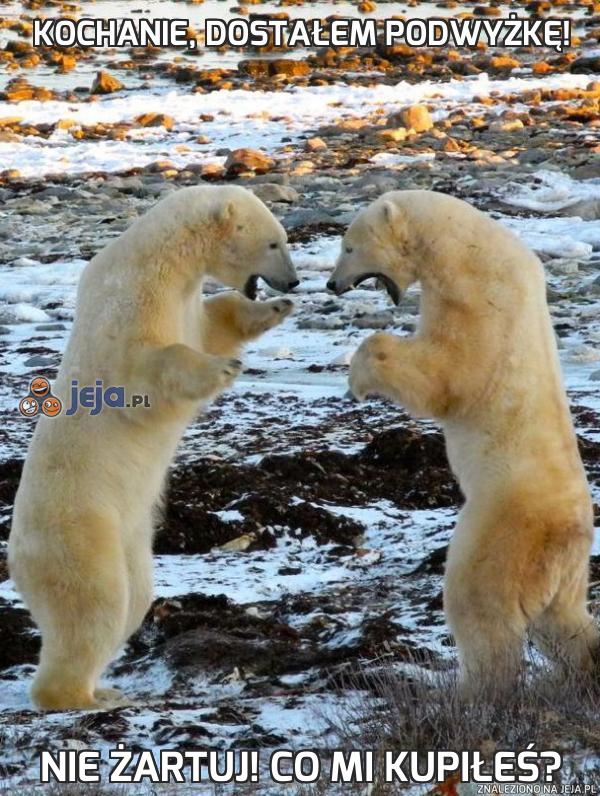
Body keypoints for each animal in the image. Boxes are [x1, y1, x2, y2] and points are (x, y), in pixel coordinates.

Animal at [8, 185, 298, 708]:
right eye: (273, 243)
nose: (295, 280)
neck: (159, 255)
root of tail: (16, 556)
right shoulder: (131, 301)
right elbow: (146, 369)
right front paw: (222, 368)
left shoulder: (183, 298)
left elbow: (212, 325)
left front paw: (273, 309)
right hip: (80, 529)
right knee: (96, 600)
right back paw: (79, 695)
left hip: (129, 535)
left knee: (135, 598)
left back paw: (103, 685)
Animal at [326, 190, 596, 692]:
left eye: (349, 246)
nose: (332, 284)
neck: (463, 249)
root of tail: (566, 534)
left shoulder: (476, 301)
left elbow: (444, 375)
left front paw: (359, 376)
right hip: (566, 567)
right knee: (563, 619)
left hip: (502, 530)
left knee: (481, 608)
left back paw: (470, 691)